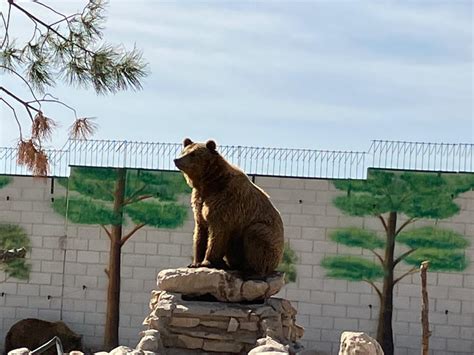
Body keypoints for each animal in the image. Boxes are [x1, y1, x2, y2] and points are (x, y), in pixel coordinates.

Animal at [174, 139, 286, 278]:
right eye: (184, 151)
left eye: (193, 154)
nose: (177, 160)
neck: (208, 183)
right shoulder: (199, 201)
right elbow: (200, 232)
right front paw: (195, 263)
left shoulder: (226, 203)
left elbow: (218, 233)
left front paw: (207, 262)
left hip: (270, 239)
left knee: (256, 233)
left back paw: (252, 271)